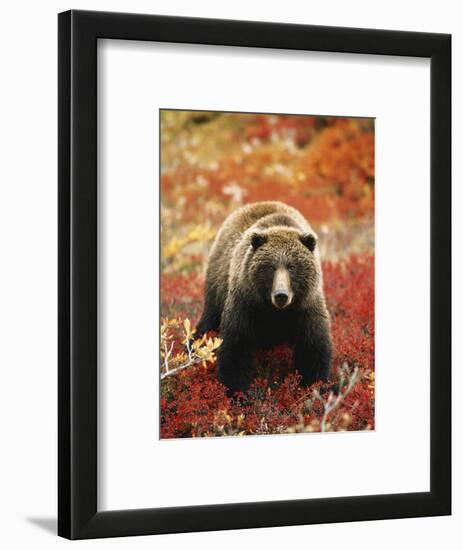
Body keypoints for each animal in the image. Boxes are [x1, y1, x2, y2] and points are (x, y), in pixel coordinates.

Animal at [197, 203, 334, 396]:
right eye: (270, 267)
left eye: (292, 267)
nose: (281, 295)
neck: (275, 312)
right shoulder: (246, 304)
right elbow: (236, 348)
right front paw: (237, 392)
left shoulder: (306, 308)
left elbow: (313, 350)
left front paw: (315, 388)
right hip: (217, 286)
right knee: (208, 321)